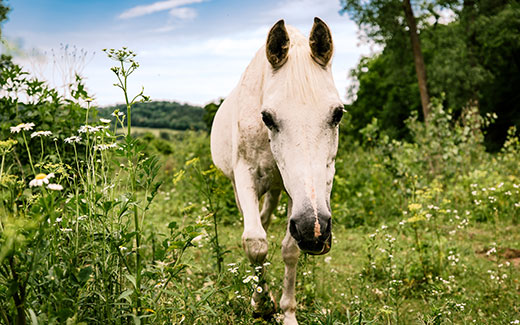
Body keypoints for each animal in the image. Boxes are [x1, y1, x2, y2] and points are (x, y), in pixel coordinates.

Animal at [209, 18, 344, 324]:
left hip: (277, 191)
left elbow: (289, 249)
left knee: (267, 218)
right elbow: (255, 242)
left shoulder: (300, 193)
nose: (314, 230)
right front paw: (261, 303)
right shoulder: (245, 177)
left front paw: (287, 312)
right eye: (267, 117)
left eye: (338, 114)